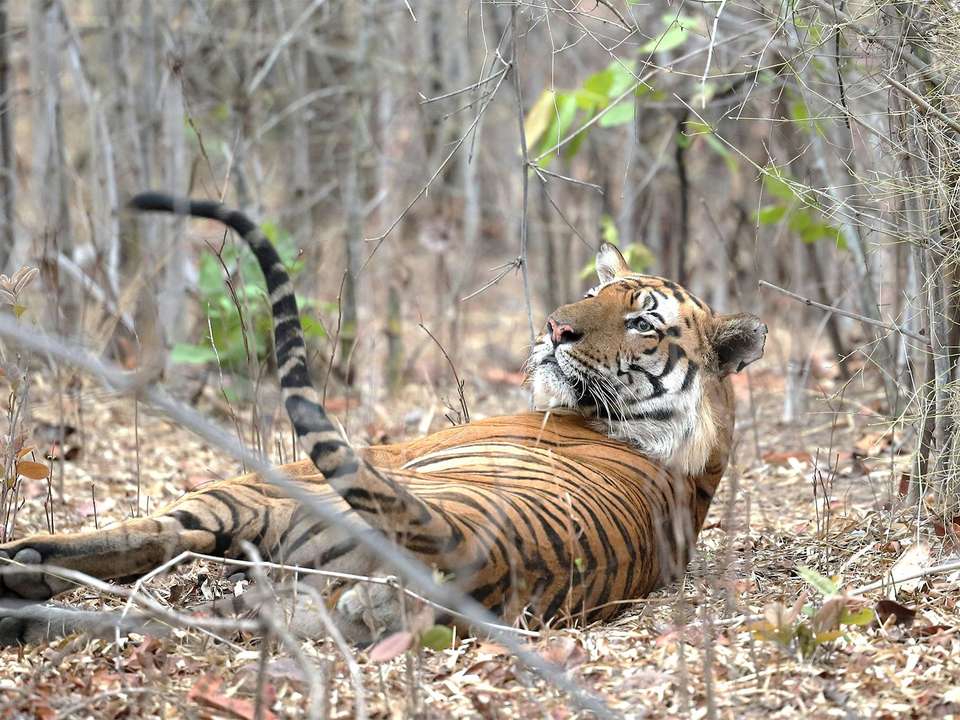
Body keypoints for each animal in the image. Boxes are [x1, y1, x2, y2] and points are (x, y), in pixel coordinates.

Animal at [0, 193, 766, 646]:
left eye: (642, 322)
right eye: (595, 293)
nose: (555, 328)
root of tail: (463, 544)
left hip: (266, 497)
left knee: (155, 533)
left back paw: (21, 567)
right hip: (284, 598)